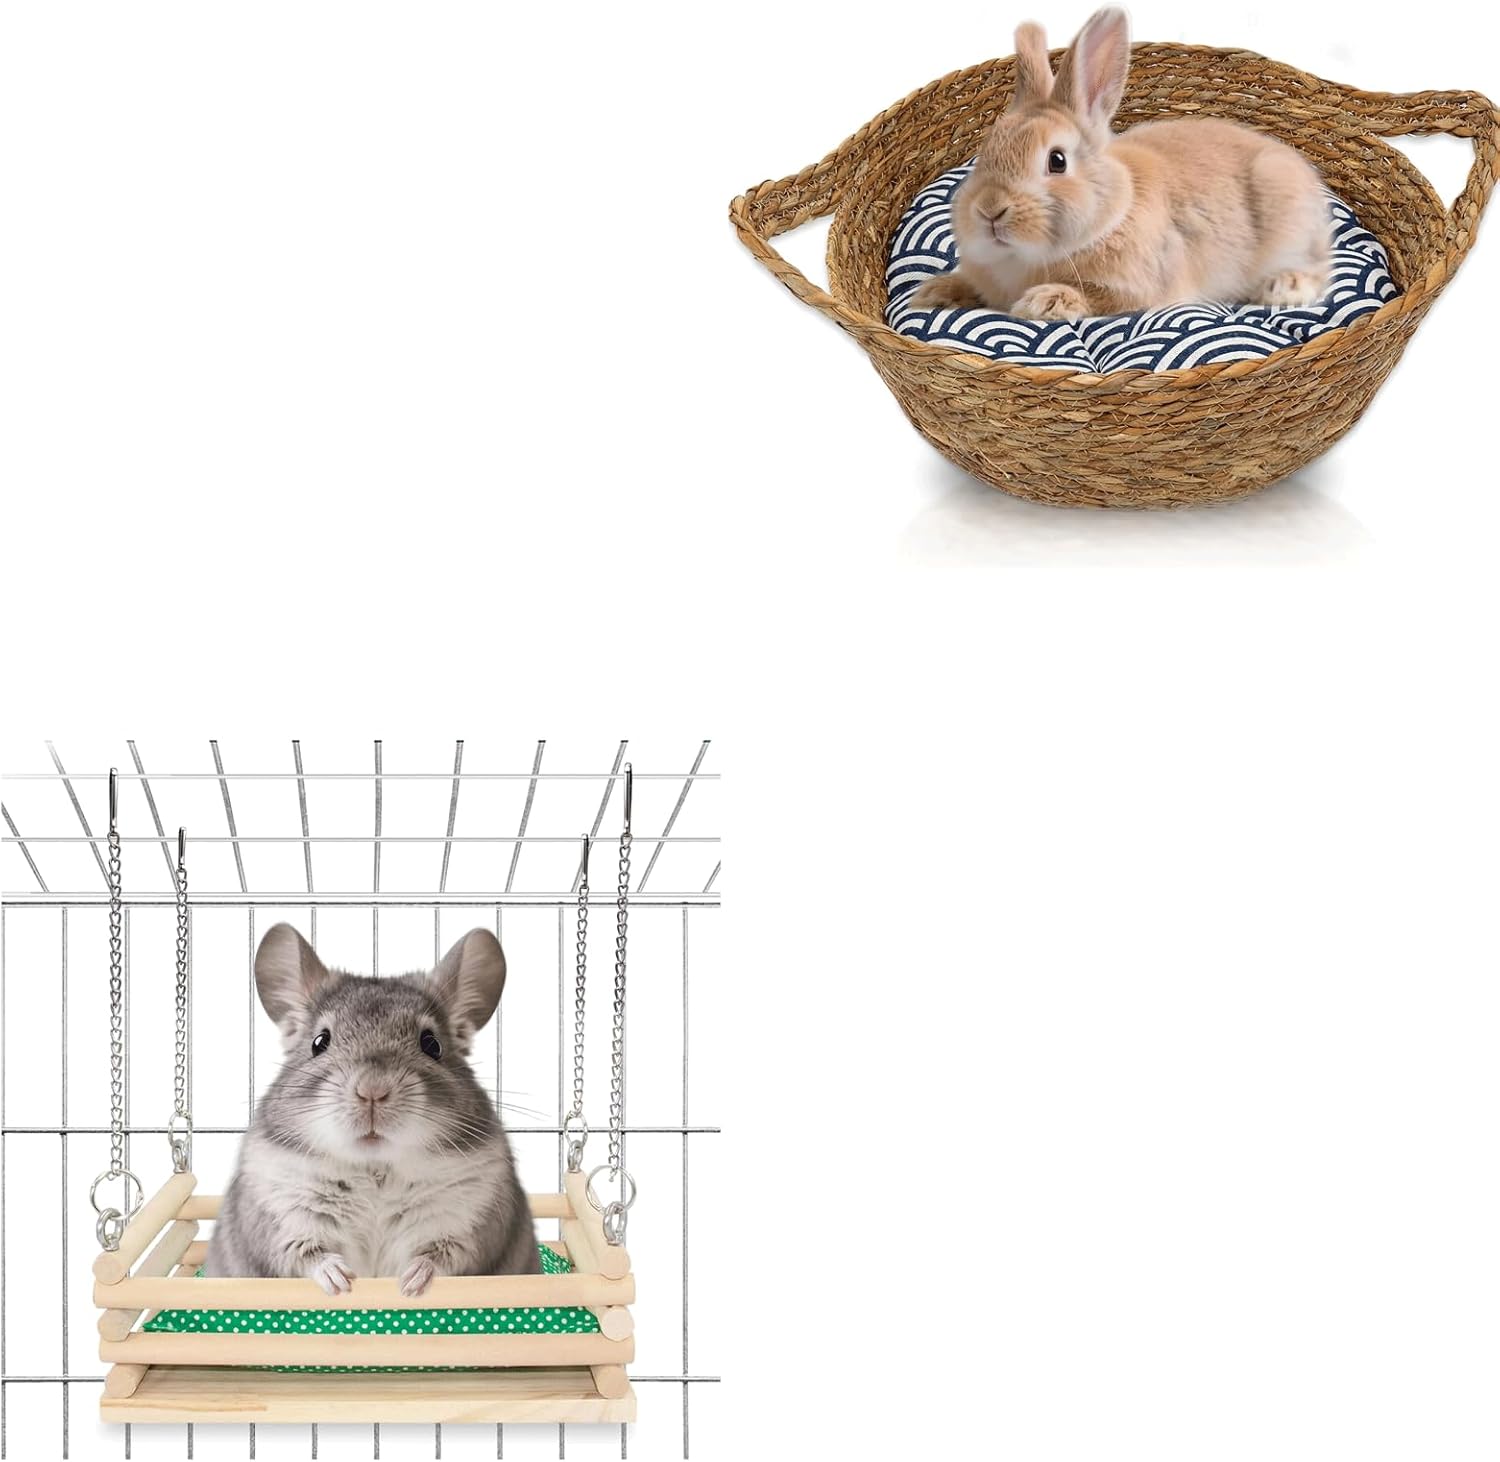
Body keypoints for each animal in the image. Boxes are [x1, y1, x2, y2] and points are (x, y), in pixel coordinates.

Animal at [203, 923, 540, 1295]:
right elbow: (308, 1255)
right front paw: (340, 1281)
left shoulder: (471, 1225)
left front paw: (411, 1283)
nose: (372, 1091)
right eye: (320, 1042)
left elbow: (441, 1257)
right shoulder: (280, 1222)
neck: (375, 1168)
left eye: (431, 1044)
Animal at [908, 7, 1332, 321]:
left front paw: (1043, 302)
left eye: (1057, 161)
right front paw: (934, 292)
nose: (990, 210)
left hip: (1287, 216)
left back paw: (1285, 289)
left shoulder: (1139, 290)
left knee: (1320, 269)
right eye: (985, 152)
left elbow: (1100, 300)